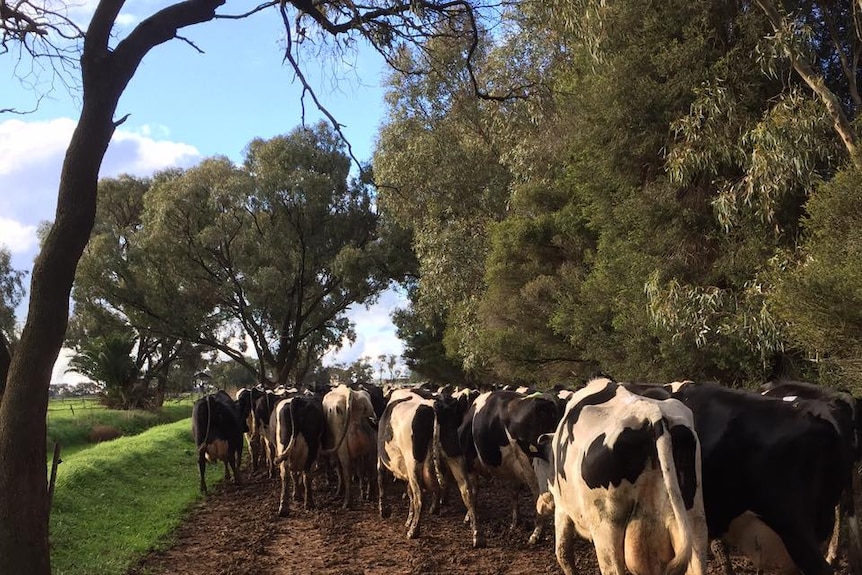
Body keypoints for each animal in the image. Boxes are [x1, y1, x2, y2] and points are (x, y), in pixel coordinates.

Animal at [460, 388, 560, 544]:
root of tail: (547, 401)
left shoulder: (469, 461)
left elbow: (470, 493)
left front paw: (475, 530)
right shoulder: (515, 469)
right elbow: (513, 492)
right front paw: (515, 523)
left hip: (532, 465)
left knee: (538, 495)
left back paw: (536, 534)